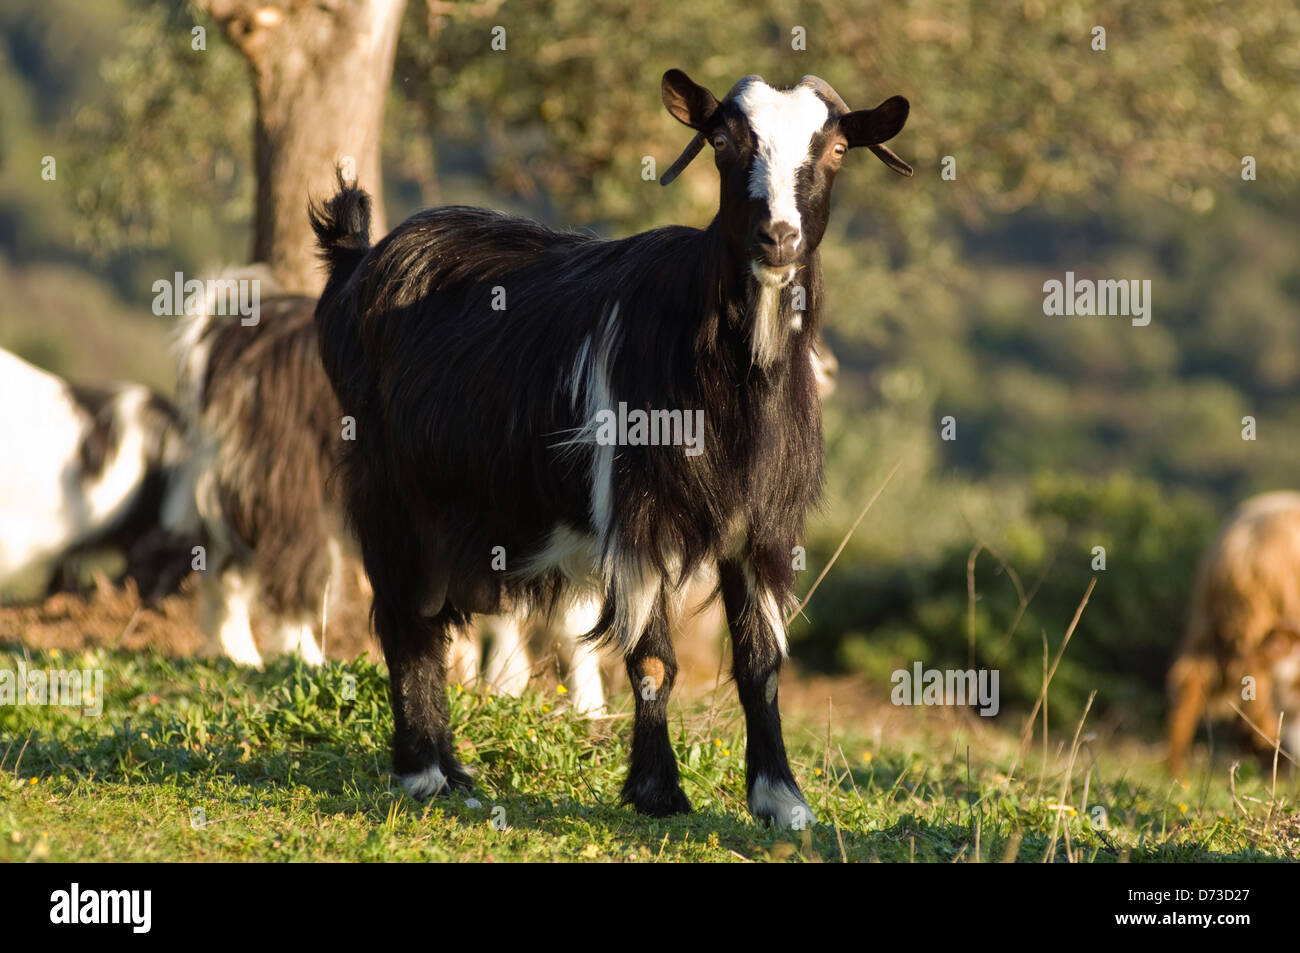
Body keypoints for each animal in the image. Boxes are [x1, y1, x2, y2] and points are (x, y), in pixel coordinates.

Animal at [309, 68, 909, 826]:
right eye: (723, 141)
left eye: (834, 150)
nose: (778, 238)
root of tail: (358, 261)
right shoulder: (636, 513)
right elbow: (653, 660)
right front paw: (658, 790)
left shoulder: (765, 525)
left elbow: (761, 662)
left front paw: (781, 798)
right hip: (388, 483)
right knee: (405, 616)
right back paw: (423, 772)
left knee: (433, 616)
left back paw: (454, 770)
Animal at [1170, 491, 1300, 774]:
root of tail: (1239, 544)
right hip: (1260, 614)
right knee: (1254, 675)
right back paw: (1269, 747)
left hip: (1206, 619)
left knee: (1191, 678)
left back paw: (1174, 765)